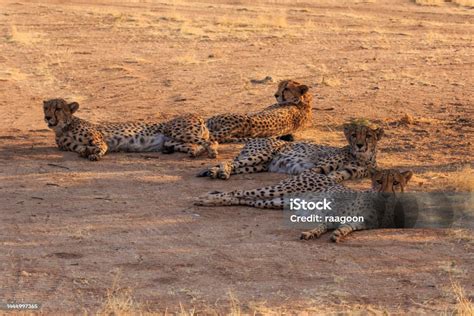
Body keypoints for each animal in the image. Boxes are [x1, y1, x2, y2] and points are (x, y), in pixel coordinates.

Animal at [43, 99, 218, 160]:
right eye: (45, 108)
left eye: (58, 108)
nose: (47, 117)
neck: (63, 128)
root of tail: (197, 115)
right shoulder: (73, 146)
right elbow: (82, 148)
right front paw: (87, 152)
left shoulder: (98, 137)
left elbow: (102, 146)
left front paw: (96, 154)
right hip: (172, 141)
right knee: (197, 145)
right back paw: (194, 153)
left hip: (176, 131)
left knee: (212, 142)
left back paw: (212, 153)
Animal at [194, 169, 412, 243]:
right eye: (379, 181)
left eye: (395, 183)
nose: (385, 193)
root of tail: (313, 172)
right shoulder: (332, 212)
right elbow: (322, 226)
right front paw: (311, 233)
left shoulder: (358, 224)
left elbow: (345, 228)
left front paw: (338, 235)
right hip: (276, 192)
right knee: (239, 191)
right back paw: (205, 198)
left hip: (276, 202)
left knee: (243, 199)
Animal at [197, 119, 386, 183]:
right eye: (354, 135)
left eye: (368, 136)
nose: (360, 144)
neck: (362, 157)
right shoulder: (317, 167)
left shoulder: (345, 173)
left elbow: (333, 177)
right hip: (261, 155)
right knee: (228, 161)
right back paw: (221, 172)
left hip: (259, 165)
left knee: (236, 167)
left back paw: (216, 172)